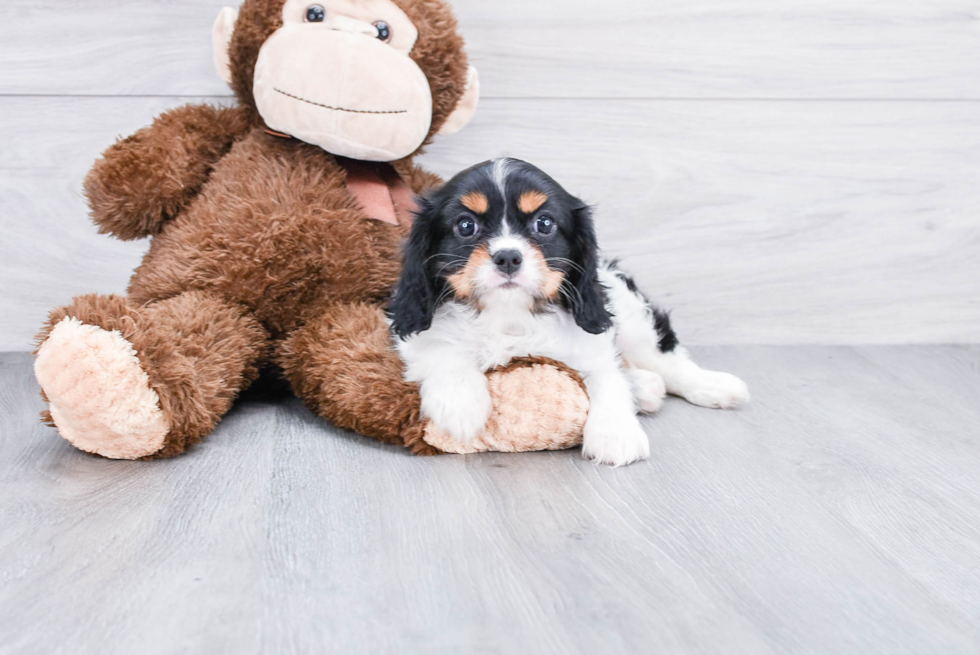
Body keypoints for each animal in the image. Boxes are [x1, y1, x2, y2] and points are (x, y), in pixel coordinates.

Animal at [390, 158, 752, 466]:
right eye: (466, 226)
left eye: (544, 224)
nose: (507, 257)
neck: (510, 314)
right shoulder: (414, 328)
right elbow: (443, 350)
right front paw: (460, 403)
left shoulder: (593, 339)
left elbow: (607, 378)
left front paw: (615, 434)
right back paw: (645, 388)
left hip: (630, 312)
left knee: (666, 360)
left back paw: (712, 386)